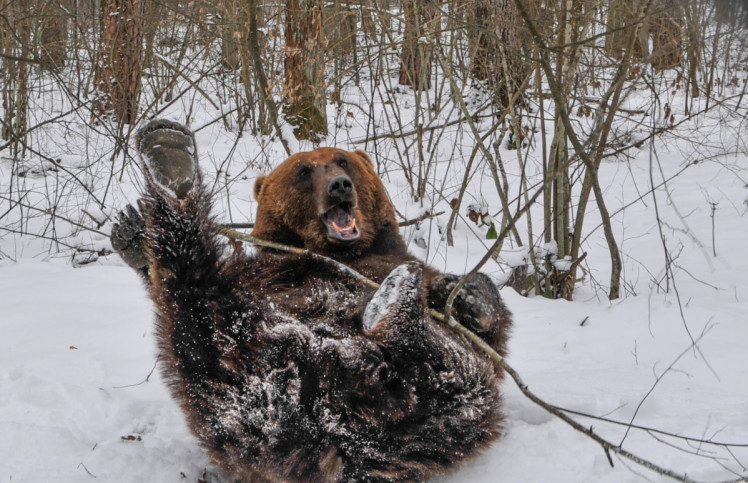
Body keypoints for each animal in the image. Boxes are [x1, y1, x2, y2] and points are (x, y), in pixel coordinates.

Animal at [111, 118, 512, 483]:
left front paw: (470, 295)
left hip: (422, 424)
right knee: (194, 314)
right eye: (303, 171)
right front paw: (132, 235)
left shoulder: (390, 261)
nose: (339, 186)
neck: (342, 253)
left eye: (343, 161)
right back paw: (170, 165)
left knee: (456, 381)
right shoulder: (275, 270)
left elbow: (490, 331)